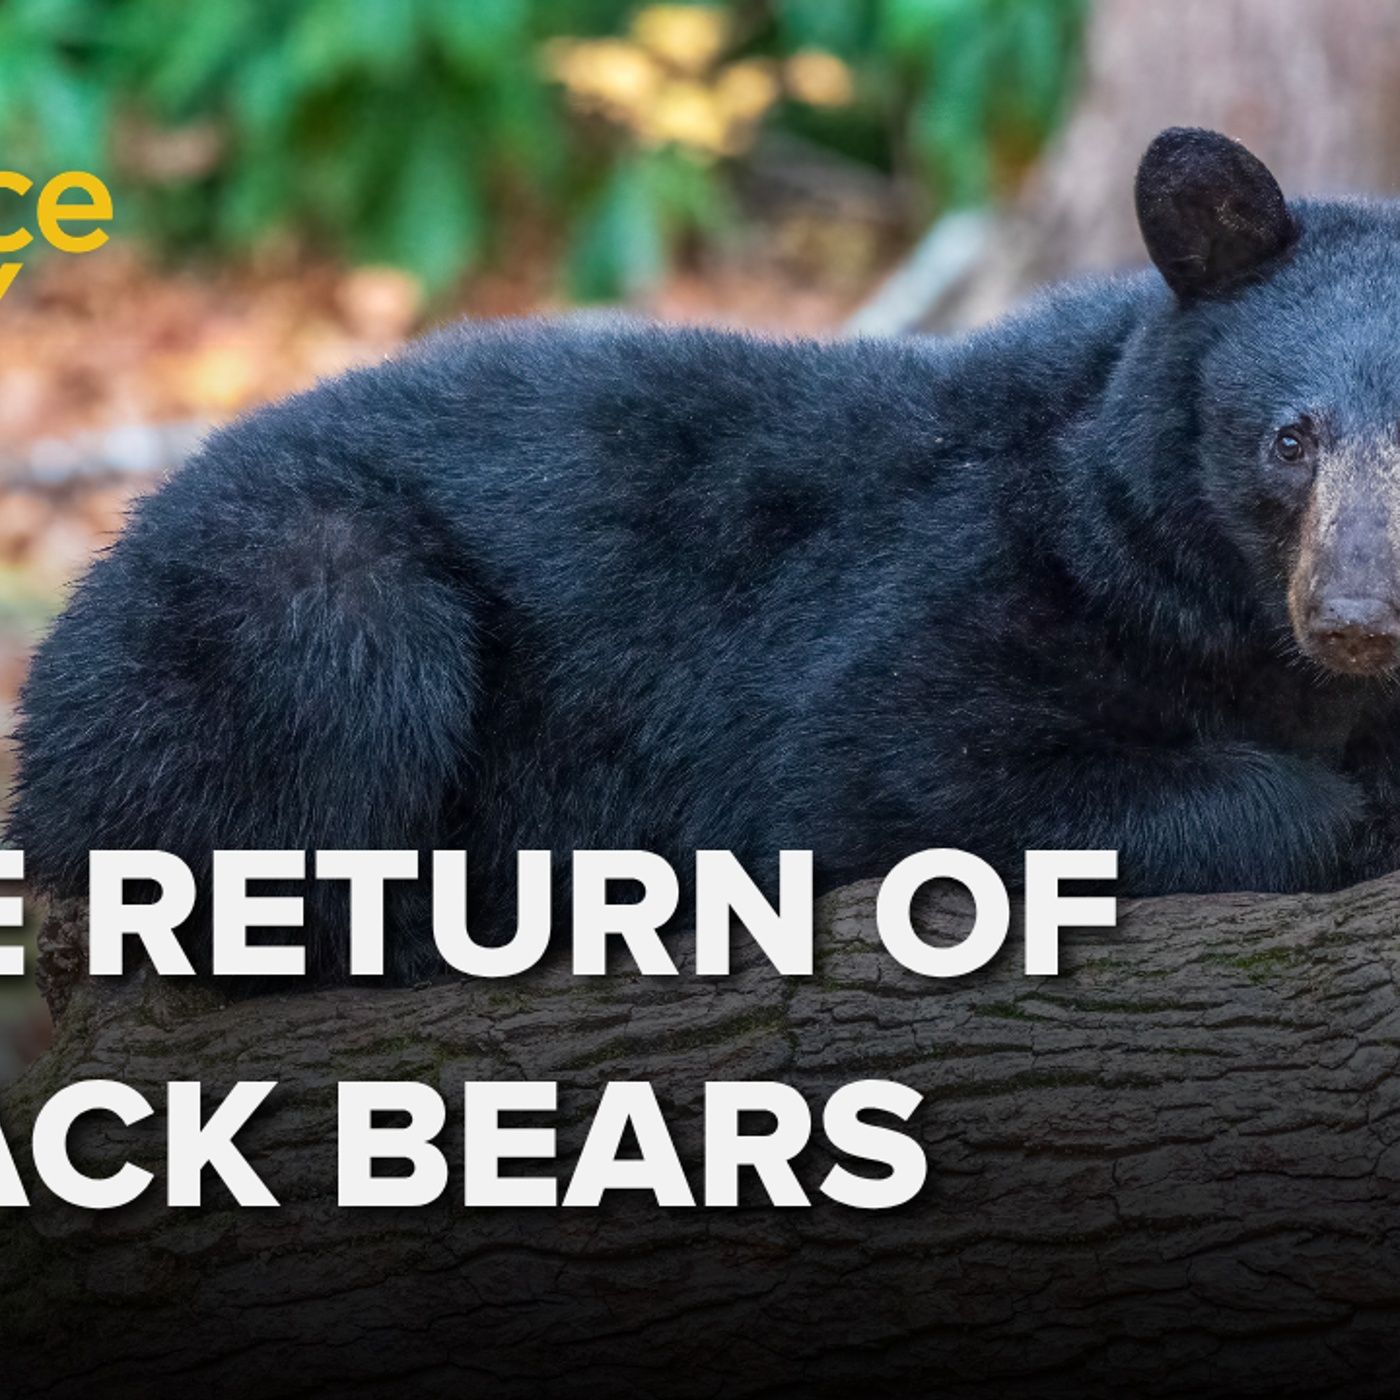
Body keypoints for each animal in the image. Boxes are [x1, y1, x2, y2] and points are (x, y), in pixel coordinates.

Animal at [11, 126, 1400, 985]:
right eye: (1289, 437)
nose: (1356, 615)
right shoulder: (962, 573)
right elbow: (895, 764)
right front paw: (1340, 808)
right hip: (281, 587)